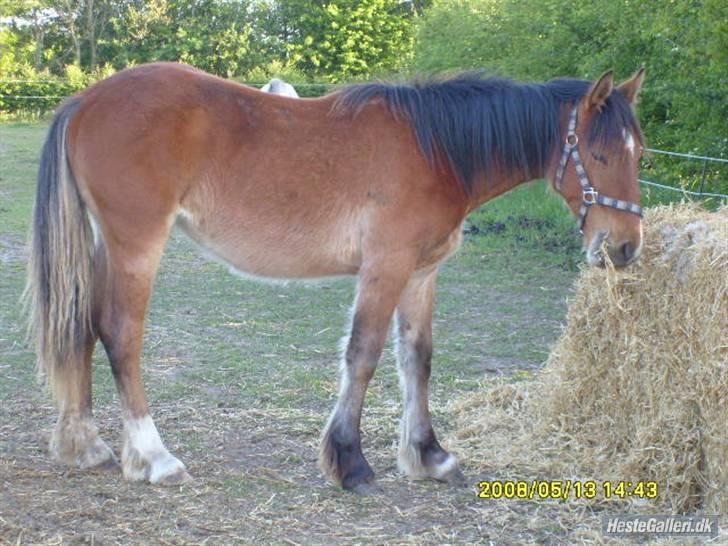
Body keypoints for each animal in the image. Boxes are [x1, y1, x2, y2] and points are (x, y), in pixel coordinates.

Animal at [25, 61, 644, 490]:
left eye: (640, 155)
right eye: (599, 154)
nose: (625, 247)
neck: (436, 150)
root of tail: (85, 100)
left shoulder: (421, 274)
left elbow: (417, 359)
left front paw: (429, 456)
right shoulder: (385, 266)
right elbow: (363, 355)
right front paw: (350, 462)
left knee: (81, 326)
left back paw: (84, 445)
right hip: (136, 245)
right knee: (120, 334)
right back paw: (155, 458)